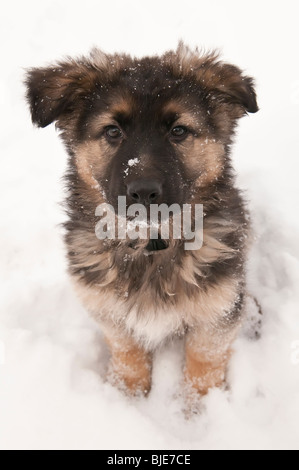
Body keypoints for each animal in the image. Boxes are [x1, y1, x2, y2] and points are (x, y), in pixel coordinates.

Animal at [25, 43, 258, 396]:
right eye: (112, 131)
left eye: (178, 130)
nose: (144, 192)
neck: (151, 245)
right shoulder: (107, 309)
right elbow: (127, 351)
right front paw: (126, 393)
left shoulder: (217, 311)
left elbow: (204, 360)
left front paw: (198, 404)